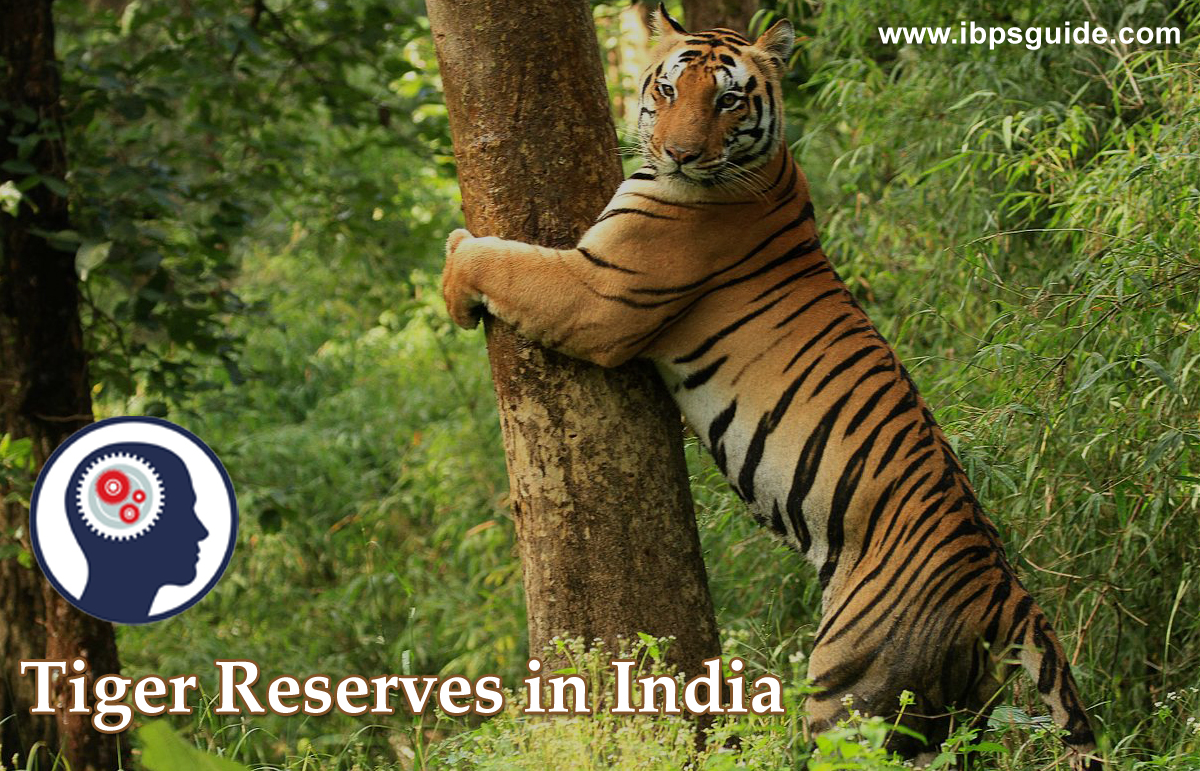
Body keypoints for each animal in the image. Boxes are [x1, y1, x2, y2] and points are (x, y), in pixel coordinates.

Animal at [439, 5, 1102, 768]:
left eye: (727, 100)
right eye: (668, 89)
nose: (679, 154)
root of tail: (1006, 592)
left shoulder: (598, 293)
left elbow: (505, 261)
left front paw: (453, 272)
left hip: (850, 693)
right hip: (957, 714)